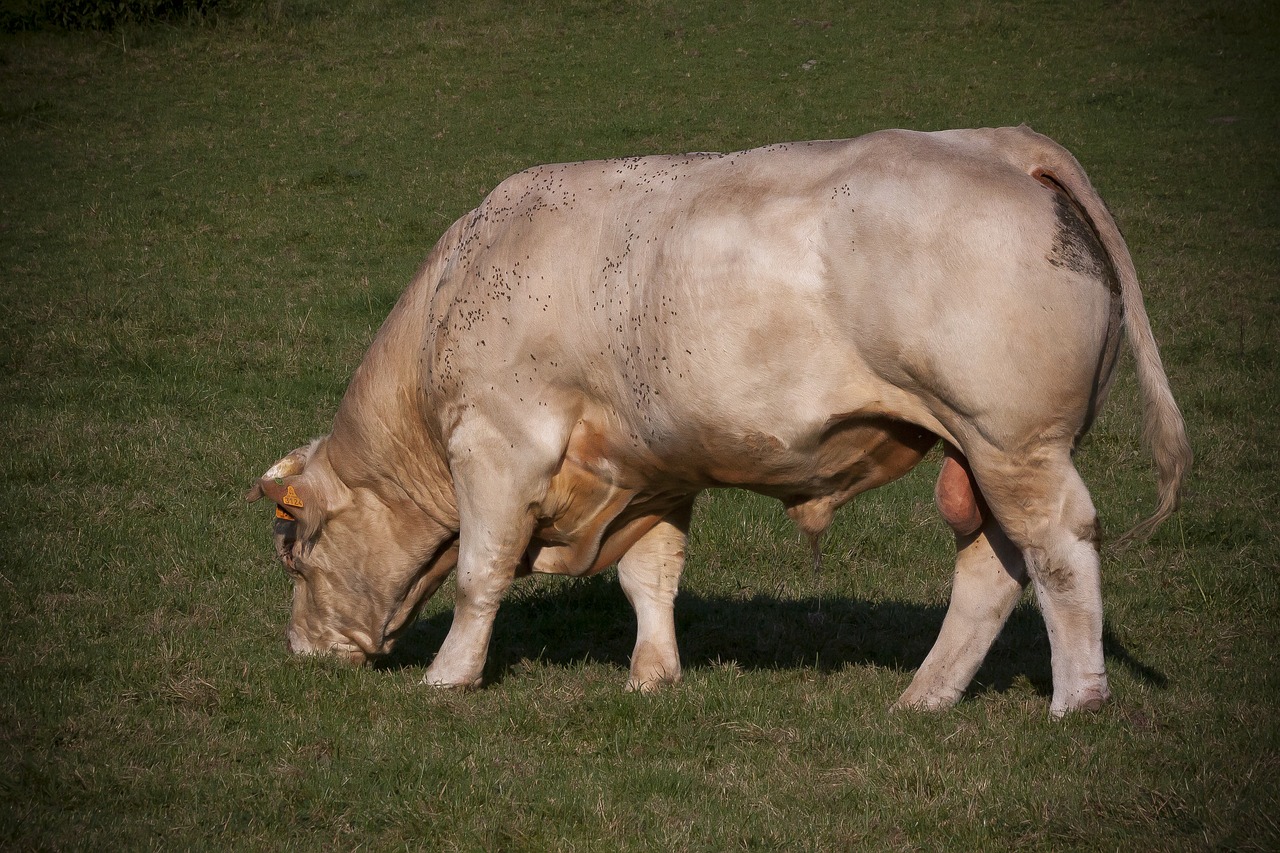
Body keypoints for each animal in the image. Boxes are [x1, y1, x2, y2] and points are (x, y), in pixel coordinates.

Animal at [247, 124, 1187, 712]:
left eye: (295, 553)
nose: (299, 653)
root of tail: (996, 142)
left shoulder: (500, 444)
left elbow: (482, 572)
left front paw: (449, 677)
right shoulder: (648, 467)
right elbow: (650, 576)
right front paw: (652, 675)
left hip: (1015, 442)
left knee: (1058, 551)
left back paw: (1076, 699)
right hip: (980, 453)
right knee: (993, 567)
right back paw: (925, 695)